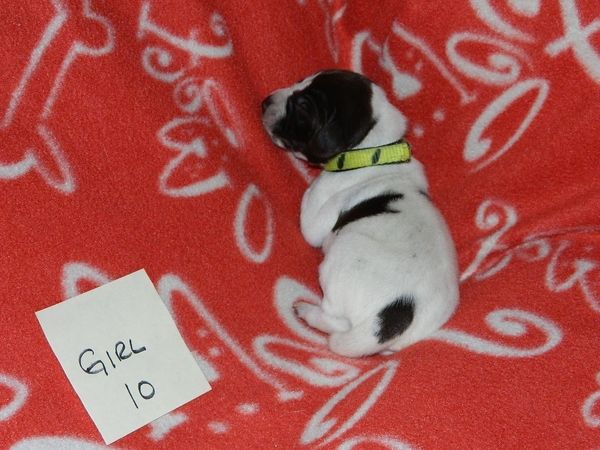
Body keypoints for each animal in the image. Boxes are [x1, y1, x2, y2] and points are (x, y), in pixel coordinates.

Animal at [261, 69, 459, 357]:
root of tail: (392, 317)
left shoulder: (317, 218)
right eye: (299, 82)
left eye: (304, 106)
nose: (265, 102)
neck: (375, 152)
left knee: (337, 321)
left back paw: (307, 311)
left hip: (341, 253)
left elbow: (313, 201)